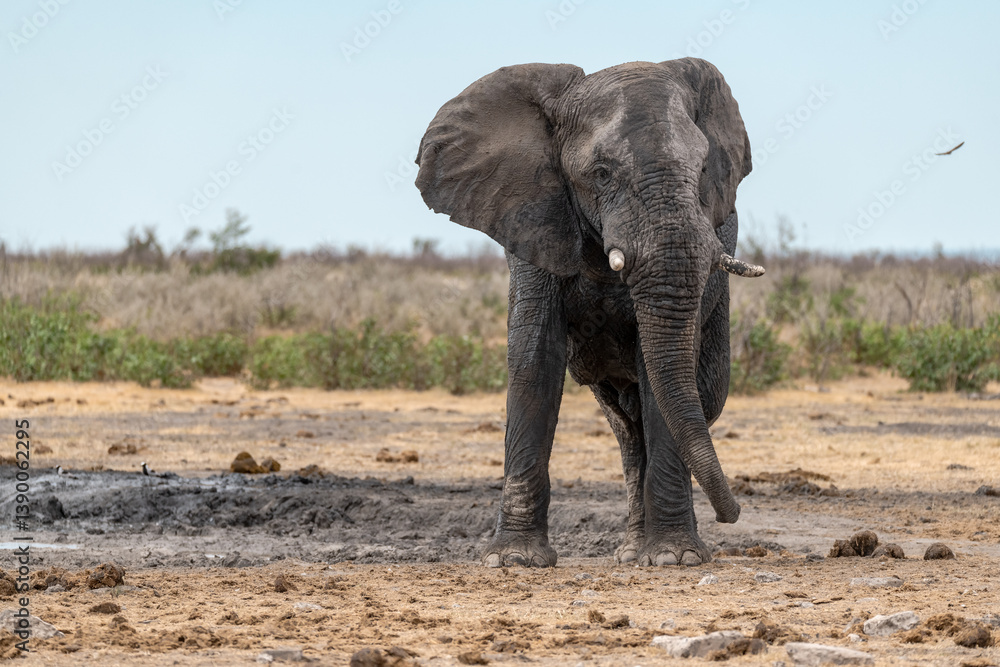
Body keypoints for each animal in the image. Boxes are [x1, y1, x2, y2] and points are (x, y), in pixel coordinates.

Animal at [415, 58, 764, 568]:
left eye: (702, 169)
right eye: (601, 173)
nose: (732, 514)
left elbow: (659, 369)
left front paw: (674, 559)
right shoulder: (532, 216)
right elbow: (534, 358)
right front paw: (513, 559)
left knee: (695, 399)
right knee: (628, 428)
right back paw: (631, 551)